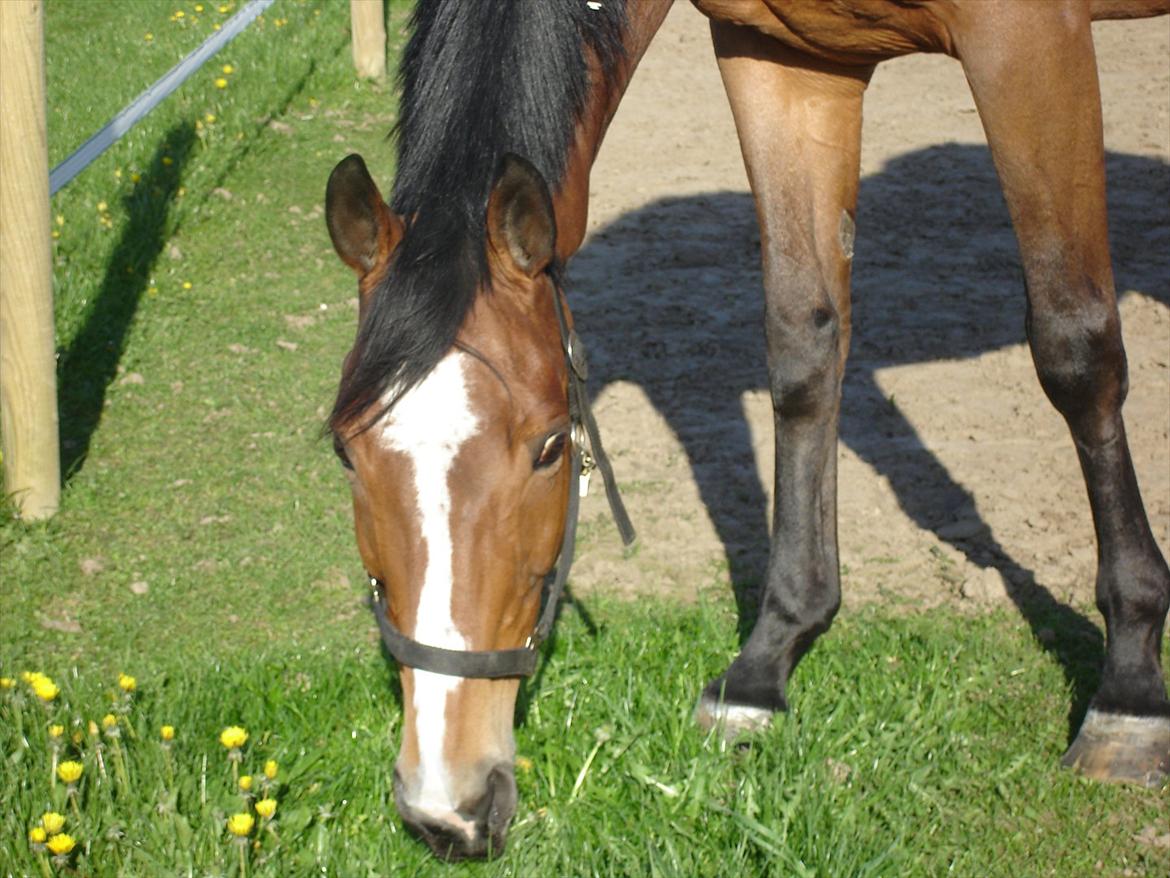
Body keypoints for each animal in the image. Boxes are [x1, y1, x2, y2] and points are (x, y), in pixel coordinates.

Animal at [325, 0, 1170, 861]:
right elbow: (803, 347)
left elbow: (1076, 350)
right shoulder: (781, 60)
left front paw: (1130, 688)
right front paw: (766, 664)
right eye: (345, 452)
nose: (445, 807)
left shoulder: (1029, 40)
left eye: (552, 448)